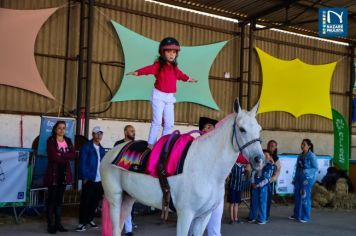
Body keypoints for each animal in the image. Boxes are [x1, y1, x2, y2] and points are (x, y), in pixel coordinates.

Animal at [100, 98, 264, 235]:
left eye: (259, 129)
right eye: (242, 129)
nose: (259, 160)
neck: (206, 167)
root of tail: (109, 154)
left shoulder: (203, 217)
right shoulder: (185, 215)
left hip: (128, 199)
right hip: (115, 199)